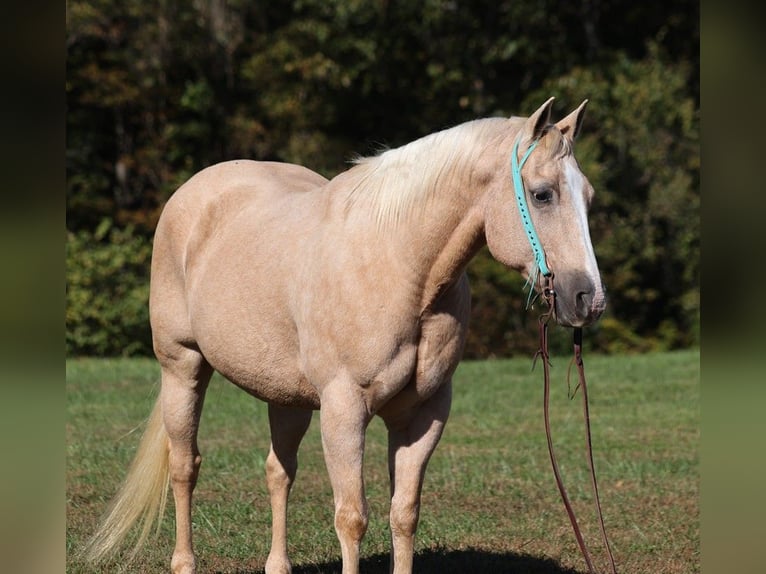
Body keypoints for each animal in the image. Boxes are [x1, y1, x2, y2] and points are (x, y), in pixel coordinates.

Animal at [82, 97, 605, 574]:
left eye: (589, 196)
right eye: (542, 194)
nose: (588, 299)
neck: (400, 266)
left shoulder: (424, 415)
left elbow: (403, 516)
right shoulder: (344, 408)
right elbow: (352, 519)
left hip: (285, 395)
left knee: (278, 472)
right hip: (183, 367)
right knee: (184, 466)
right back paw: (184, 561)